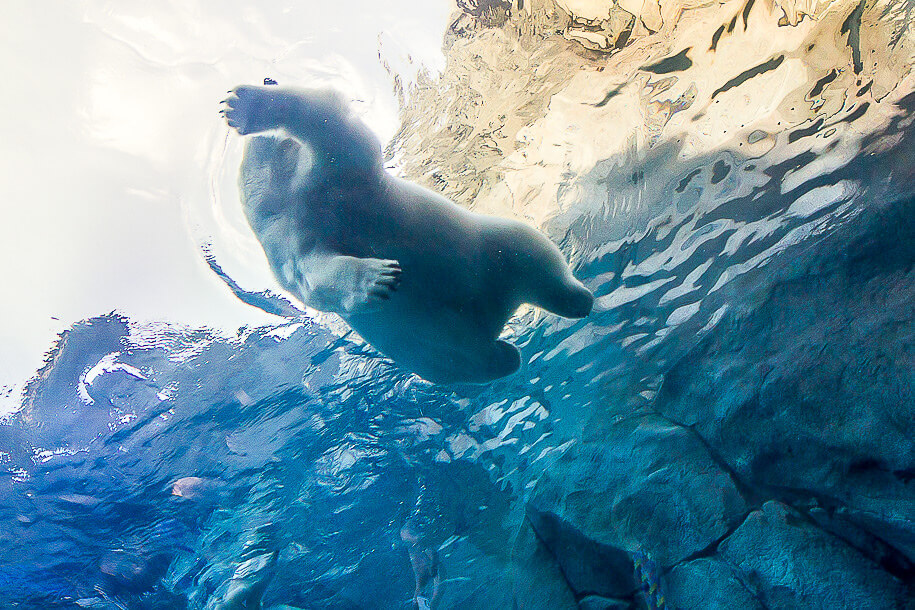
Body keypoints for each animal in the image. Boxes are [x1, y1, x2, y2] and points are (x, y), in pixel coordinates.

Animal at [222, 84, 593, 384]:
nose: (269, 79)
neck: (293, 196)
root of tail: (490, 320)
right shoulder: (286, 239)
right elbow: (315, 276)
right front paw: (379, 278)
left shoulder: (333, 181)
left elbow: (339, 129)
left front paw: (247, 105)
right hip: (430, 353)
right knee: (472, 361)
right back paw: (506, 354)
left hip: (490, 244)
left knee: (534, 257)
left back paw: (576, 300)